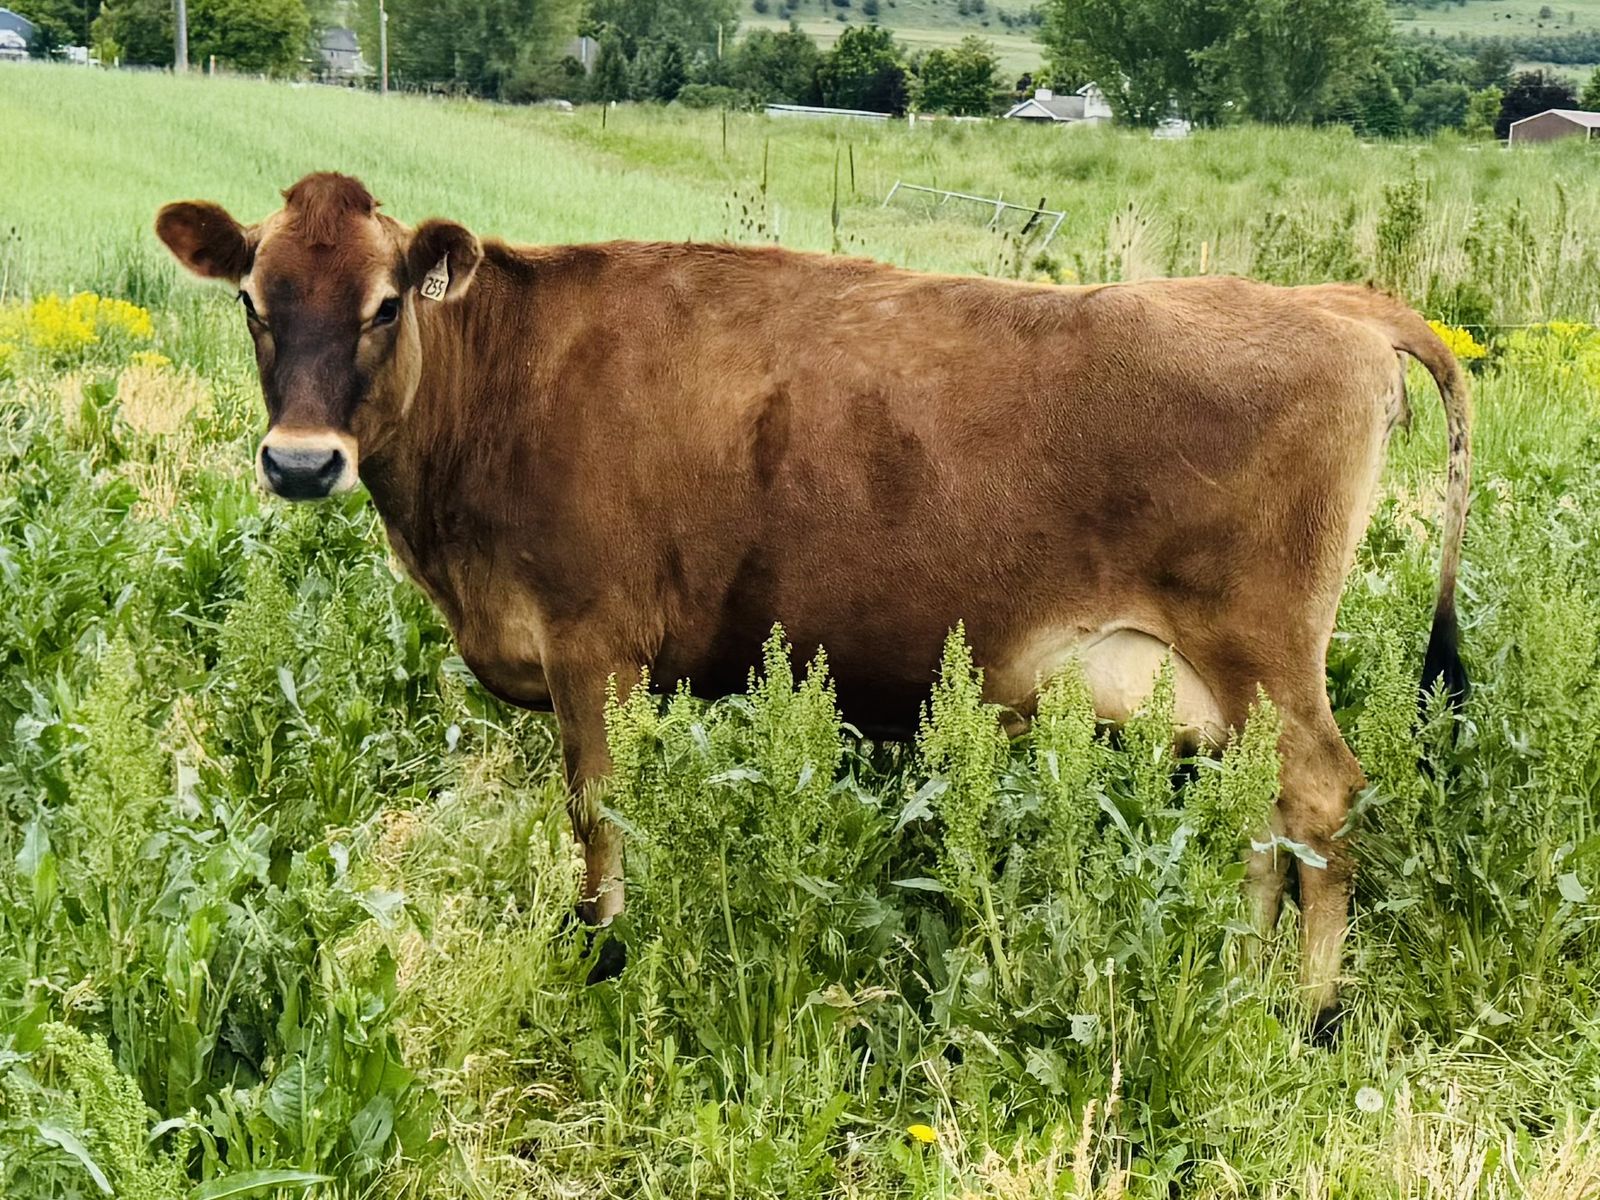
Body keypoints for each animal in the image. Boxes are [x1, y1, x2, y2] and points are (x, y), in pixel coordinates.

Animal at [155, 172, 1470, 1038]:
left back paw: (1305, 1012)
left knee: (1319, 796)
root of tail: (1336, 303)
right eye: (255, 302)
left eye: (385, 305)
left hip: (1263, 650)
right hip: (1216, 680)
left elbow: (598, 817)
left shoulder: (593, 648)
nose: (300, 463)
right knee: (1266, 814)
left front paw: (603, 955)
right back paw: (1242, 977)